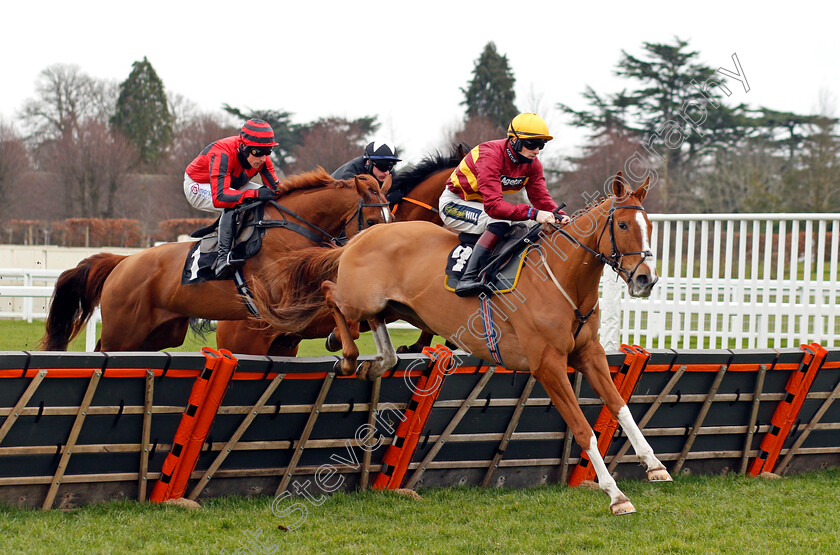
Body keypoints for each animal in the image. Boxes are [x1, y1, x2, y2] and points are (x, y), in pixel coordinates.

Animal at [37, 169, 392, 352]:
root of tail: (122, 263)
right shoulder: (280, 298)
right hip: (124, 330)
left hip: (159, 334)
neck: (290, 225)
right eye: (373, 221)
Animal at [248, 175, 668, 516]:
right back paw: (349, 354)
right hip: (360, 298)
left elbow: (621, 408)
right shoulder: (547, 364)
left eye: (650, 226)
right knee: (328, 291)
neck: (563, 277)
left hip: (394, 306)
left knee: (373, 323)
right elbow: (583, 429)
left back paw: (380, 359)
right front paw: (616, 495)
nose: (645, 278)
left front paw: (655, 465)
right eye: (623, 224)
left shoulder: (588, 353)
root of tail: (362, 235)